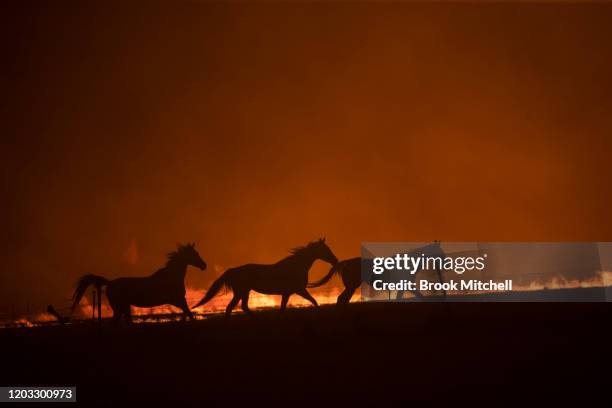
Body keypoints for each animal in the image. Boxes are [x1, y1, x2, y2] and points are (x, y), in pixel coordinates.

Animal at [71, 242, 207, 322]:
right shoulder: (178, 300)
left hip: (124, 307)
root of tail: (110, 283)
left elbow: (187, 314)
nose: (204, 266)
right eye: (195, 254)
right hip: (118, 307)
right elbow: (189, 313)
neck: (171, 277)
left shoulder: (179, 301)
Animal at [192, 239, 340, 316]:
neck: (296, 266)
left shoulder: (288, 293)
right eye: (325, 249)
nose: (335, 260)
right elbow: (313, 301)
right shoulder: (299, 290)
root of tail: (232, 271)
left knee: (242, 307)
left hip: (245, 292)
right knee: (231, 308)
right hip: (241, 291)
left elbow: (284, 308)